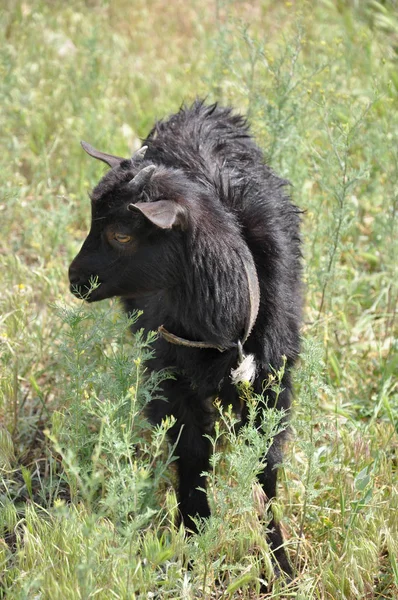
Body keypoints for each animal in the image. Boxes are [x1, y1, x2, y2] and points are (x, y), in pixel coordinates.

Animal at [68, 99, 302, 576]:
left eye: (121, 234)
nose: (73, 279)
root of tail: (194, 109)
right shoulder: (171, 379)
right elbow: (192, 458)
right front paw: (194, 544)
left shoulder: (273, 382)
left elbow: (266, 468)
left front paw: (280, 562)